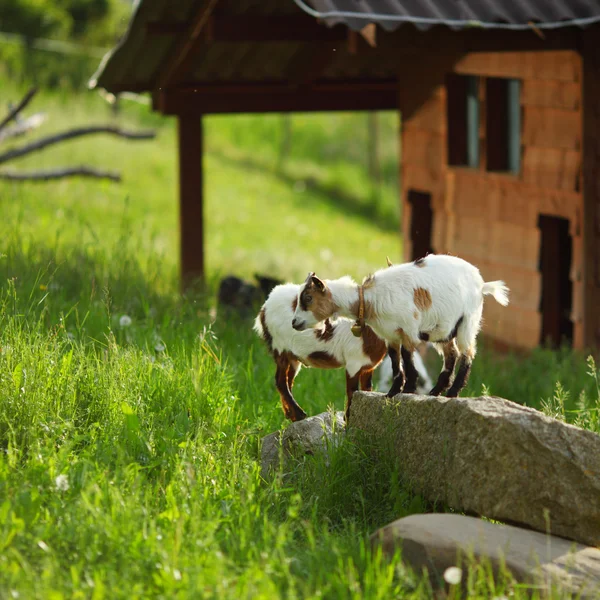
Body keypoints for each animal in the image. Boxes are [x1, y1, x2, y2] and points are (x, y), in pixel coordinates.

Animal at [252, 282, 384, 420]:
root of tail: (264, 308)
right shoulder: (353, 362)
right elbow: (352, 391)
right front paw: (348, 419)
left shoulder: (368, 366)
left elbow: (366, 389)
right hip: (280, 346)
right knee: (280, 380)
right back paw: (299, 414)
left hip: (292, 357)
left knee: (288, 380)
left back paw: (291, 415)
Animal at [292, 253, 508, 398]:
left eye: (308, 298)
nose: (294, 323)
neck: (370, 299)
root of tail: (482, 284)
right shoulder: (391, 335)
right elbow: (396, 361)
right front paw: (393, 392)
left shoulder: (409, 329)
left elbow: (407, 357)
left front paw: (409, 389)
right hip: (443, 329)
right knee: (451, 355)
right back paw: (434, 392)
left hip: (467, 322)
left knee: (467, 354)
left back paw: (451, 393)